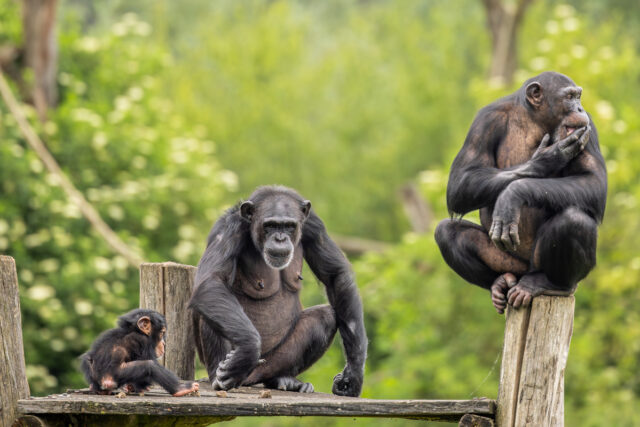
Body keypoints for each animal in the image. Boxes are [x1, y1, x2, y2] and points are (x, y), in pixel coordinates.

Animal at [190, 187, 368, 398]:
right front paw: (247, 351)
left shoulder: (314, 227)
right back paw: (221, 376)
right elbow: (211, 281)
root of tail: (249, 380)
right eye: (271, 225)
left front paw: (353, 374)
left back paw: (283, 379)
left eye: (289, 226)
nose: (280, 238)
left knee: (325, 317)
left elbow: (335, 276)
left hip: (268, 364)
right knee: (212, 304)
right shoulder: (227, 230)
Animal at [436, 72, 604, 314]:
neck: (535, 119)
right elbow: (461, 182)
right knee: (446, 231)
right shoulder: (484, 121)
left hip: (538, 265)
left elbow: (593, 180)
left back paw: (551, 284)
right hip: (509, 263)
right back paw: (497, 284)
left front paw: (513, 195)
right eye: (570, 97)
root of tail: (523, 275)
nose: (580, 108)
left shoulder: (588, 127)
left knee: (574, 220)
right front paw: (548, 157)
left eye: (578, 97)